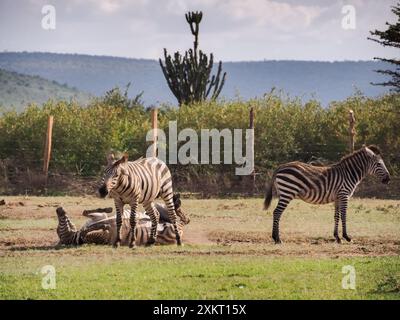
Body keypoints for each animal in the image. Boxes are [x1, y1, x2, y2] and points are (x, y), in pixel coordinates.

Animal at [55, 196, 191, 246]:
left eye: (58, 227)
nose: (58, 208)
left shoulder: (100, 218)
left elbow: (88, 214)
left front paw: (108, 209)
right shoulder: (103, 235)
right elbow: (94, 229)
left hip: (158, 206)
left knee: (178, 215)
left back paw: (177, 199)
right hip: (171, 227)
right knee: (177, 218)